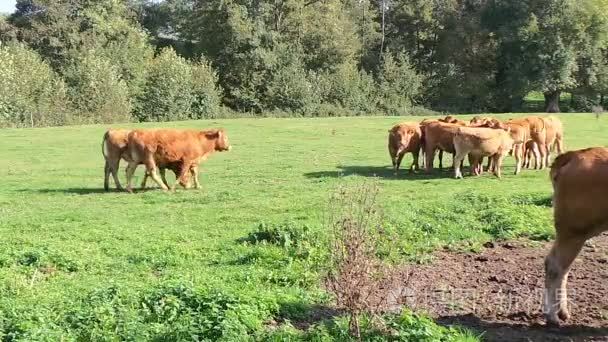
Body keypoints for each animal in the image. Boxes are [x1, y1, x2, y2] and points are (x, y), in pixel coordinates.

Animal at [544, 146, 608, 324]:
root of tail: (575, 154)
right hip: (574, 230)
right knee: (556, 266)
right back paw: (553, 316)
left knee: (559, 266)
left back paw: (561, 312)